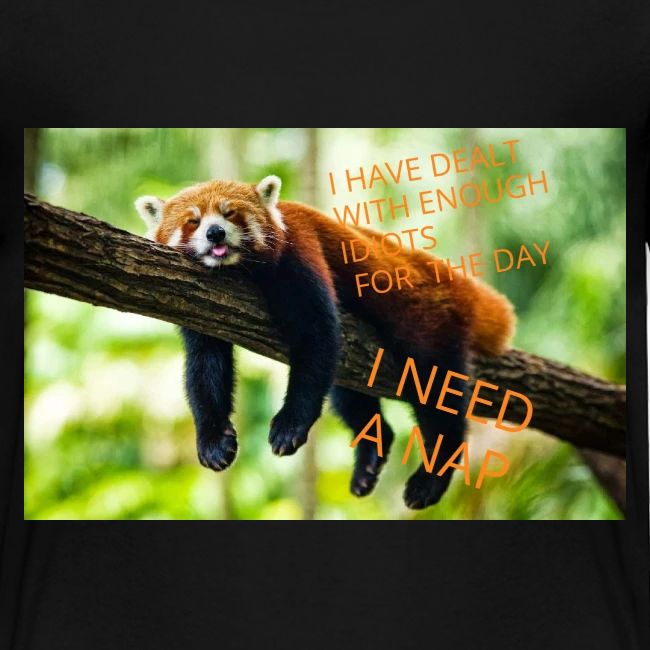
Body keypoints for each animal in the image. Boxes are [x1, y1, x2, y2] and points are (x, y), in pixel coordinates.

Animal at [135, 175, 515, 509]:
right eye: (193, 221)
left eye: (230, 214)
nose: (215, 232)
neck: (238, 270)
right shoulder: (200, 304)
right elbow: (205, 367)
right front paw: (213, 441)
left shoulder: (300, 253)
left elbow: (317, 337)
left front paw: (290, 425)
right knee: (348, 394)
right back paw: (370, 458)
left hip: (427, 322)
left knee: (436, 392)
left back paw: (431, 477)